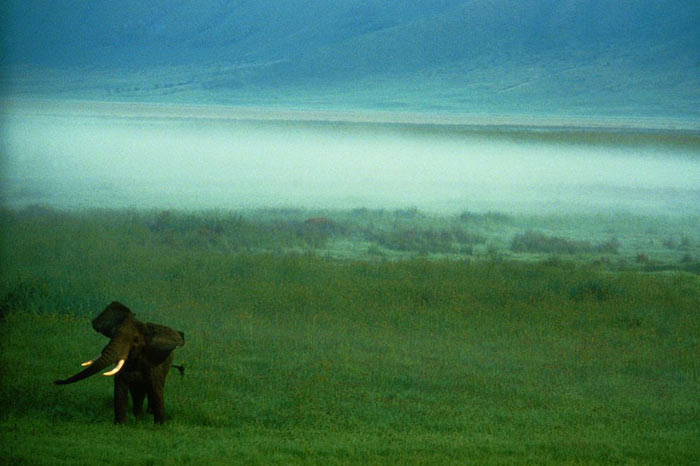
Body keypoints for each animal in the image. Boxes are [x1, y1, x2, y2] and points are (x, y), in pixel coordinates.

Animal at [54, 300, 185, 424]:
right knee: (137, 392)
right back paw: (137, 417)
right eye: (113, 333)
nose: (56, 381)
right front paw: (120, 424)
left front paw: (158, 425)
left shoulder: (154, 364)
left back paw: (147, 414)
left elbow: (155, 389)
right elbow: (120, 388)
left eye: (136, 340)